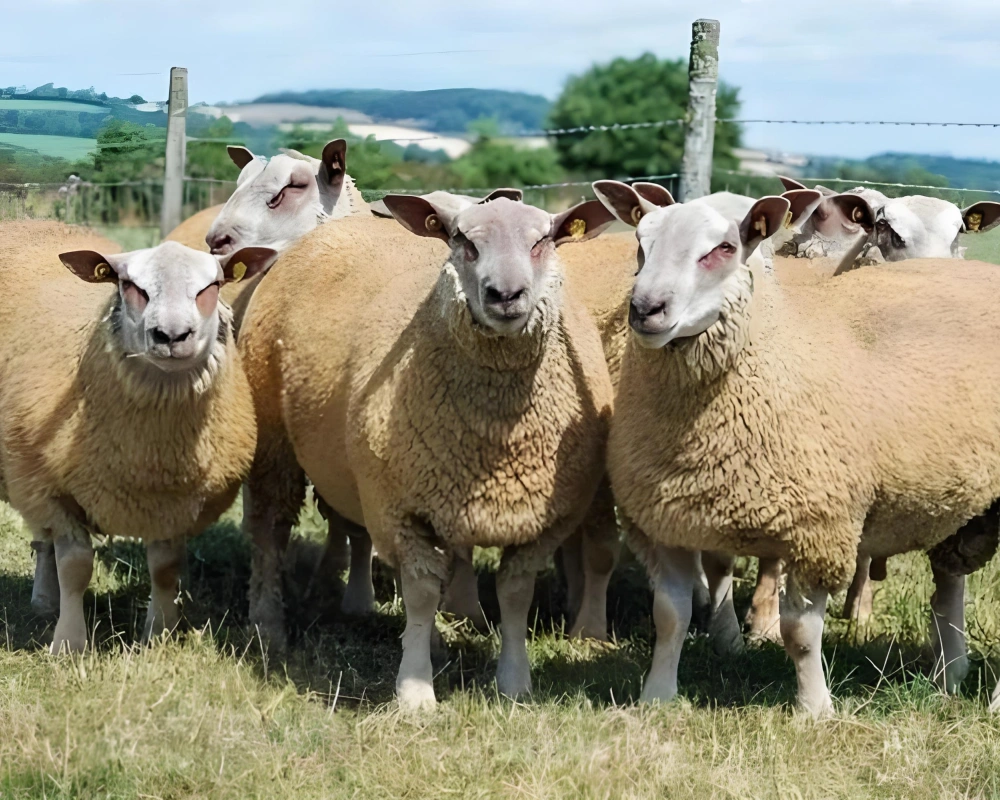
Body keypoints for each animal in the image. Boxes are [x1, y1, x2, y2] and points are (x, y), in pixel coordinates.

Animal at [0, 238, 274, 652]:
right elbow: (75, 567)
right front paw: (69, 644)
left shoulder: (171, 502)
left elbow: (164, 568)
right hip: (27, 473)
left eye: (212, 286)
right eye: (129, 285)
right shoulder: (53, 491)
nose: (172, 335)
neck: (152, 454)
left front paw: (160, 634)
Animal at [237, 194, 616, 707]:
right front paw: (415, 691)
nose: (505, 295)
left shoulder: (543, 518)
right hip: (276, 441)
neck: (498, 434)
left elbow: (514, 595)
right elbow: (418, 592)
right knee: (270, 532)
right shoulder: (398, 506)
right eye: (463, 241)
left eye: (544, 241)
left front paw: (514, 683)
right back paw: (267, 625)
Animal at [593, 180, 1000, 716]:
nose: (645, 309)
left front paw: (815, 709)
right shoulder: (665, 521)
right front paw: (657, 697)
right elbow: (669, 616)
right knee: (949, 583)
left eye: (726, 247)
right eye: (641, 243)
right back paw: (948, 676)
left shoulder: (818, 527)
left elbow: (801, 632)